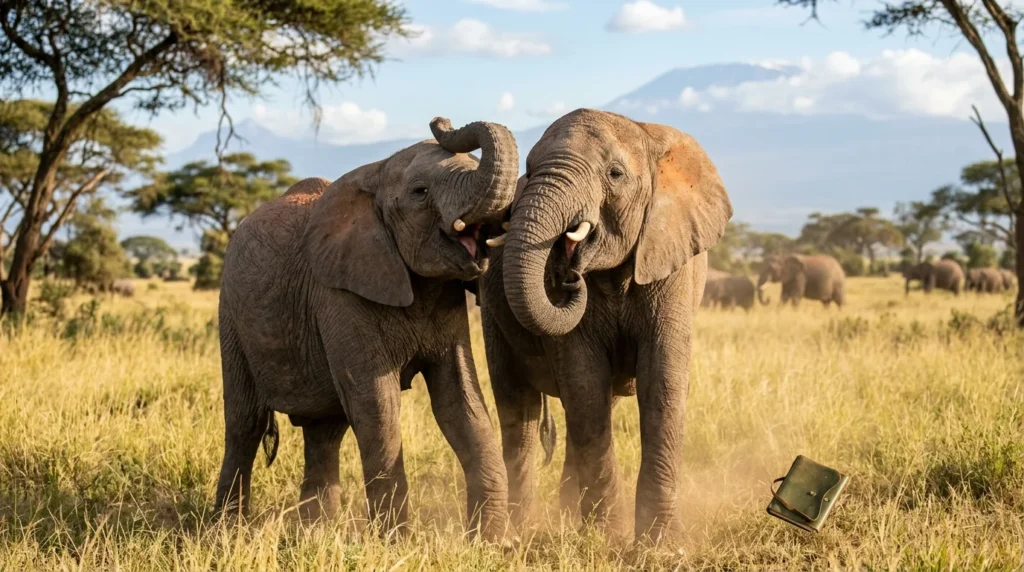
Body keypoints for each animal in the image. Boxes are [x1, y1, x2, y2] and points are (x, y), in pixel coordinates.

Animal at [214, 118, 517, 540]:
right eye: (420, 192)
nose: (440, 122)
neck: (376, 175)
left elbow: (460, 400)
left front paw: (494, 543)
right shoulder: (339, 293)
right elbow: (377, 404)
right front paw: (397, 542)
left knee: (324, 430)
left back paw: (314, 532)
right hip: (231, 314)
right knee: (245, 424)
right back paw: (227, 531)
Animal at [478, 109, 732, 542]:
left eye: (615, 174)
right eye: (529, 168)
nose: (567, 274)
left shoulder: (672, 262)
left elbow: (663, 379)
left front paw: (660, 546)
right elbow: (584, 380)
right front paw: (609, 540)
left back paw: (564, 517)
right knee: (519, 408)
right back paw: (521, 529)